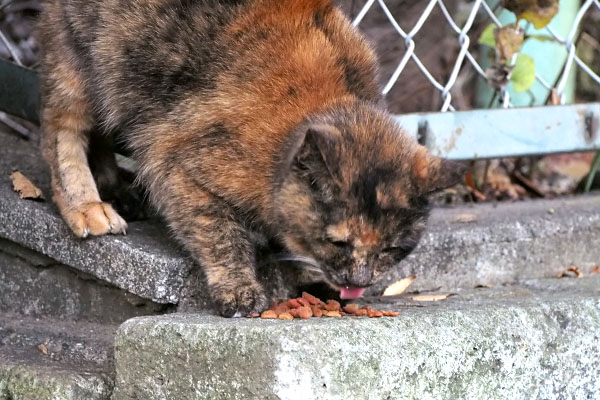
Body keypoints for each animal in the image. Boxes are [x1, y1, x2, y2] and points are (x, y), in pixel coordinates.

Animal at [38, 0, 464, 318]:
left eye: (392, 249)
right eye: (339, 242)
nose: (359, 282)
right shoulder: (176, 161)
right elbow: (219, 234)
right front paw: (239, 289)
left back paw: (116, 190)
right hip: (83, 60)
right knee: (60, 125)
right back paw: (88, 207)